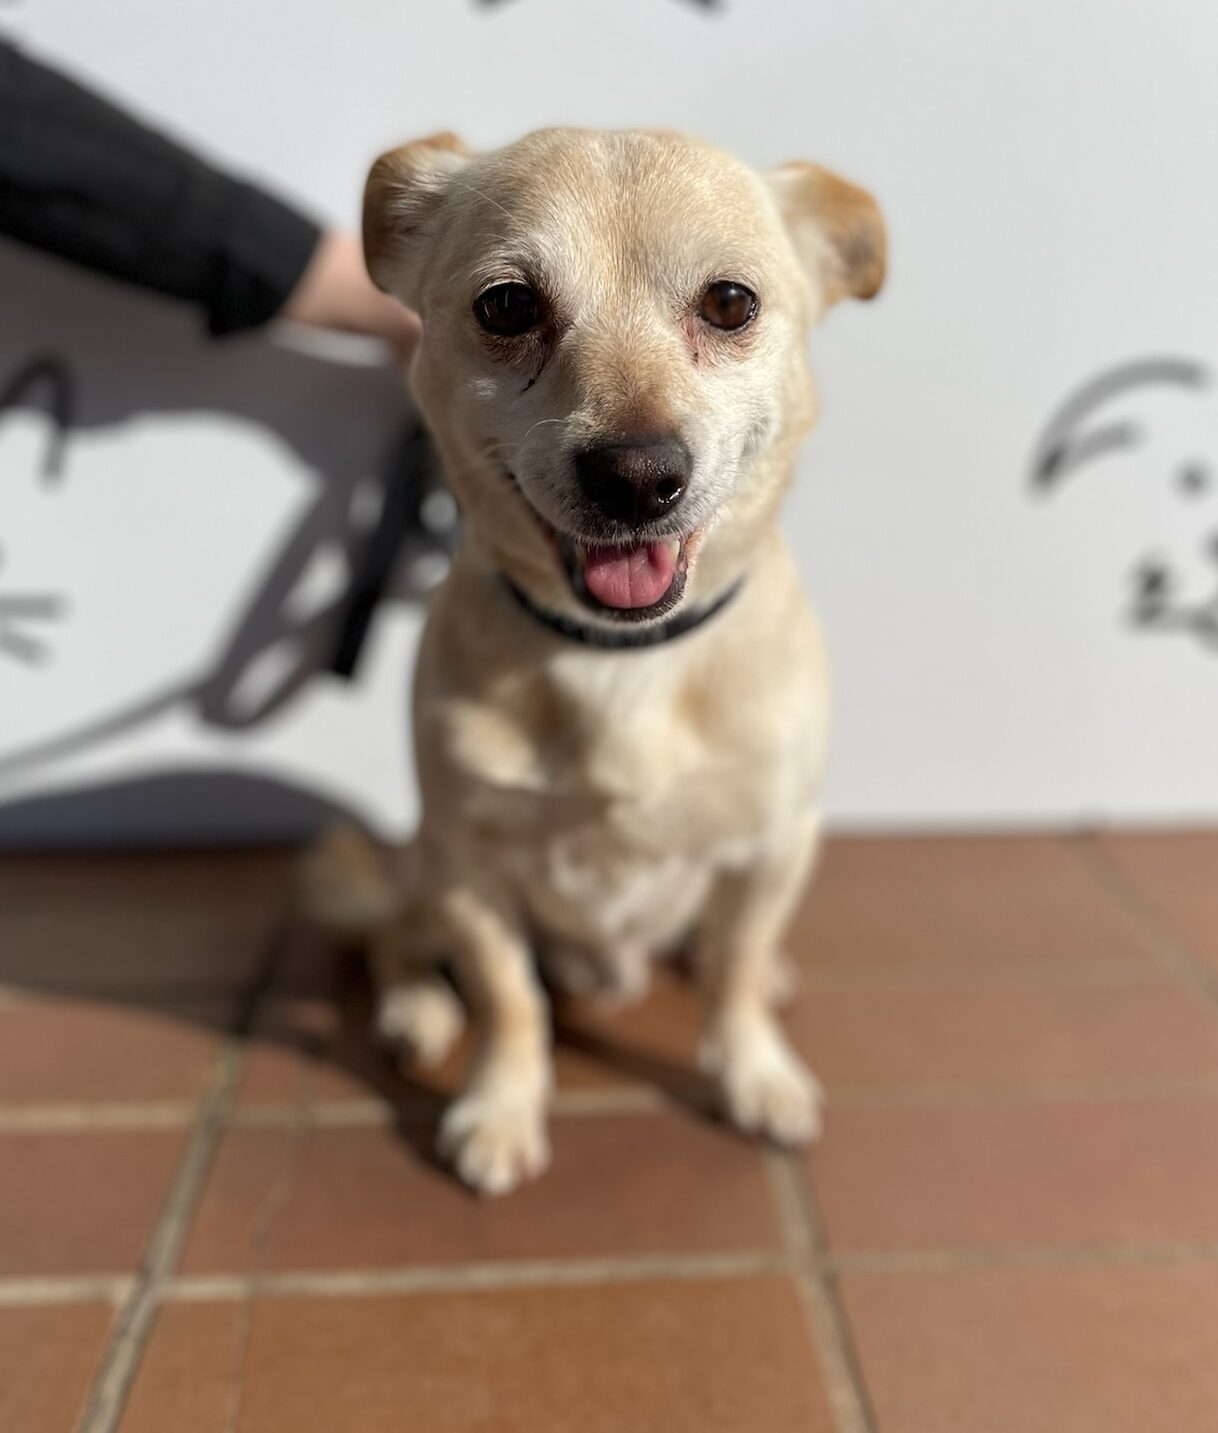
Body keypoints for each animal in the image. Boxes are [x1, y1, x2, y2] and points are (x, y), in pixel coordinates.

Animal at [307, 127, 885, 1195]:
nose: (637, 476)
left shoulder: (775, 844)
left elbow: (737, 971)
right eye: (506, 306)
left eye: (730, 302)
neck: (625, 662)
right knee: (395, 938)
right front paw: (500, 1107)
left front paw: (754, 1075)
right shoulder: (469, 868)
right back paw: (415, 1009)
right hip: (422, 870)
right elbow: (509, 998)